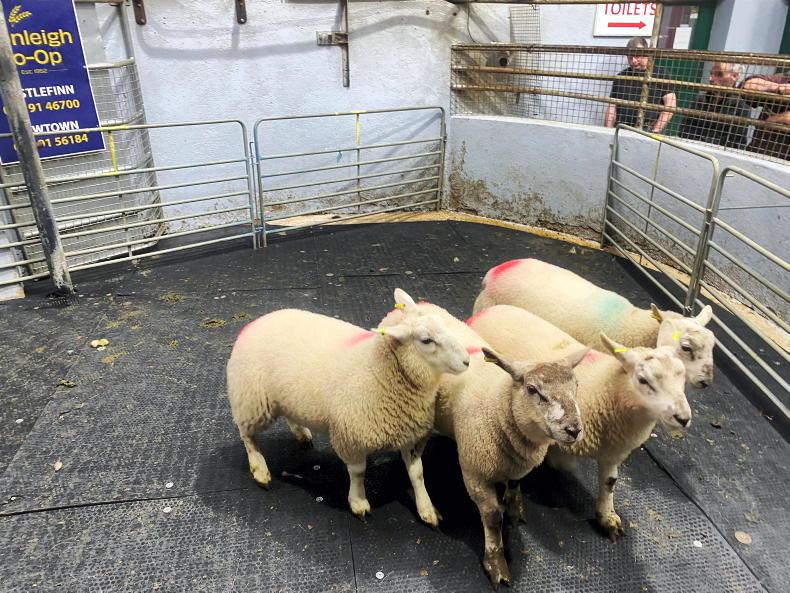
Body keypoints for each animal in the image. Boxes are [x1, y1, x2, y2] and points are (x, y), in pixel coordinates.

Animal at [226, 288, 470, 526]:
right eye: (426, 340)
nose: (467, 360)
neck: (377, 371)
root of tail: (258, 320)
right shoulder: (350, 437)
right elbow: (358, 472)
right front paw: (358, 502)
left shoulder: (409, 435)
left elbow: (417, 473)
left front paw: (426, 509)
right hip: (252, 400)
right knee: (247, 436)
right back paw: (259, 469)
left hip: (283, 396)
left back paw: (301, 433)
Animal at [381, 301, 587, 586]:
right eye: (532, 389)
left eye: (576, 385)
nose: (574, 430)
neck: (498, 407)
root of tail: (406, 307)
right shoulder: (475, 474)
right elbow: (492, 517)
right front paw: (496, 563)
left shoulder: (515, 465)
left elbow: (515, 484)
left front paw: (514, 507)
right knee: (411, 458)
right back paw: (426, 507)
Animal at [468, 304, 691, 541]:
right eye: (643, 380)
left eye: (683, 379)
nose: (684, 418)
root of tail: (492, 310)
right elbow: (559, 461)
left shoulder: (614, 451)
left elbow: (610, 482)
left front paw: (607, 517)